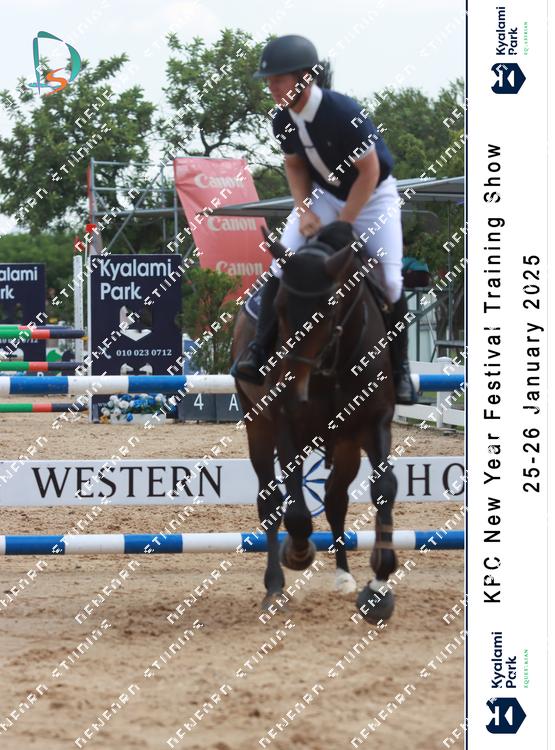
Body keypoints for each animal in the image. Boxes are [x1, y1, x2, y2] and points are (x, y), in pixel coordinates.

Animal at [231, 224, 399, 623]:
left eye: (330, 307)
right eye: (277, 308)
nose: (293, 389)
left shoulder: (375, 424)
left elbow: (384, 487)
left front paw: (379, 585)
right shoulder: (285, 427)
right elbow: (295, 513)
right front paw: (297, 553)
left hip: (346, 445)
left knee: (335, 499)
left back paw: (344, 576)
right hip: (257, 426)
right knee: (271, 502)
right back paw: (275, 586)